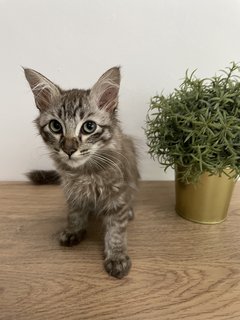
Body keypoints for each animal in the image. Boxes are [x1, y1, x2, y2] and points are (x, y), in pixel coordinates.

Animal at [23, 67, 140, 278]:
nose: (69, 150)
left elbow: (116, 229)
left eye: (89, 127)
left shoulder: (117, 193)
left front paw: (116, 256)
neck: (84, 172)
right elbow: (75, 213)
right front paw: (74, 230)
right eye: (55, 126)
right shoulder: (71, 190)